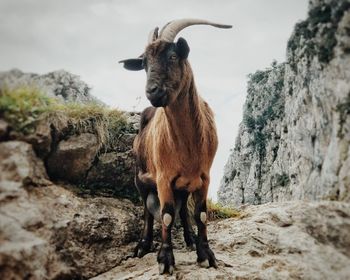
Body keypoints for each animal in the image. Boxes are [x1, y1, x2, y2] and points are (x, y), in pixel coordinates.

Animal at [119, 18, 231, 274]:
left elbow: (200, 215)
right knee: (147, 210)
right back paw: (143, 245)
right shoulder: (163, 178)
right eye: (144, 63)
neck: (188, 144)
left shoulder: (204, 177)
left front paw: (206, 254)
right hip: (140, 177)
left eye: (172, 56)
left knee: (183, 210)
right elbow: (167, 216)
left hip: (183, 185)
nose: (152, 91)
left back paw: (190, 239)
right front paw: (165, 260)